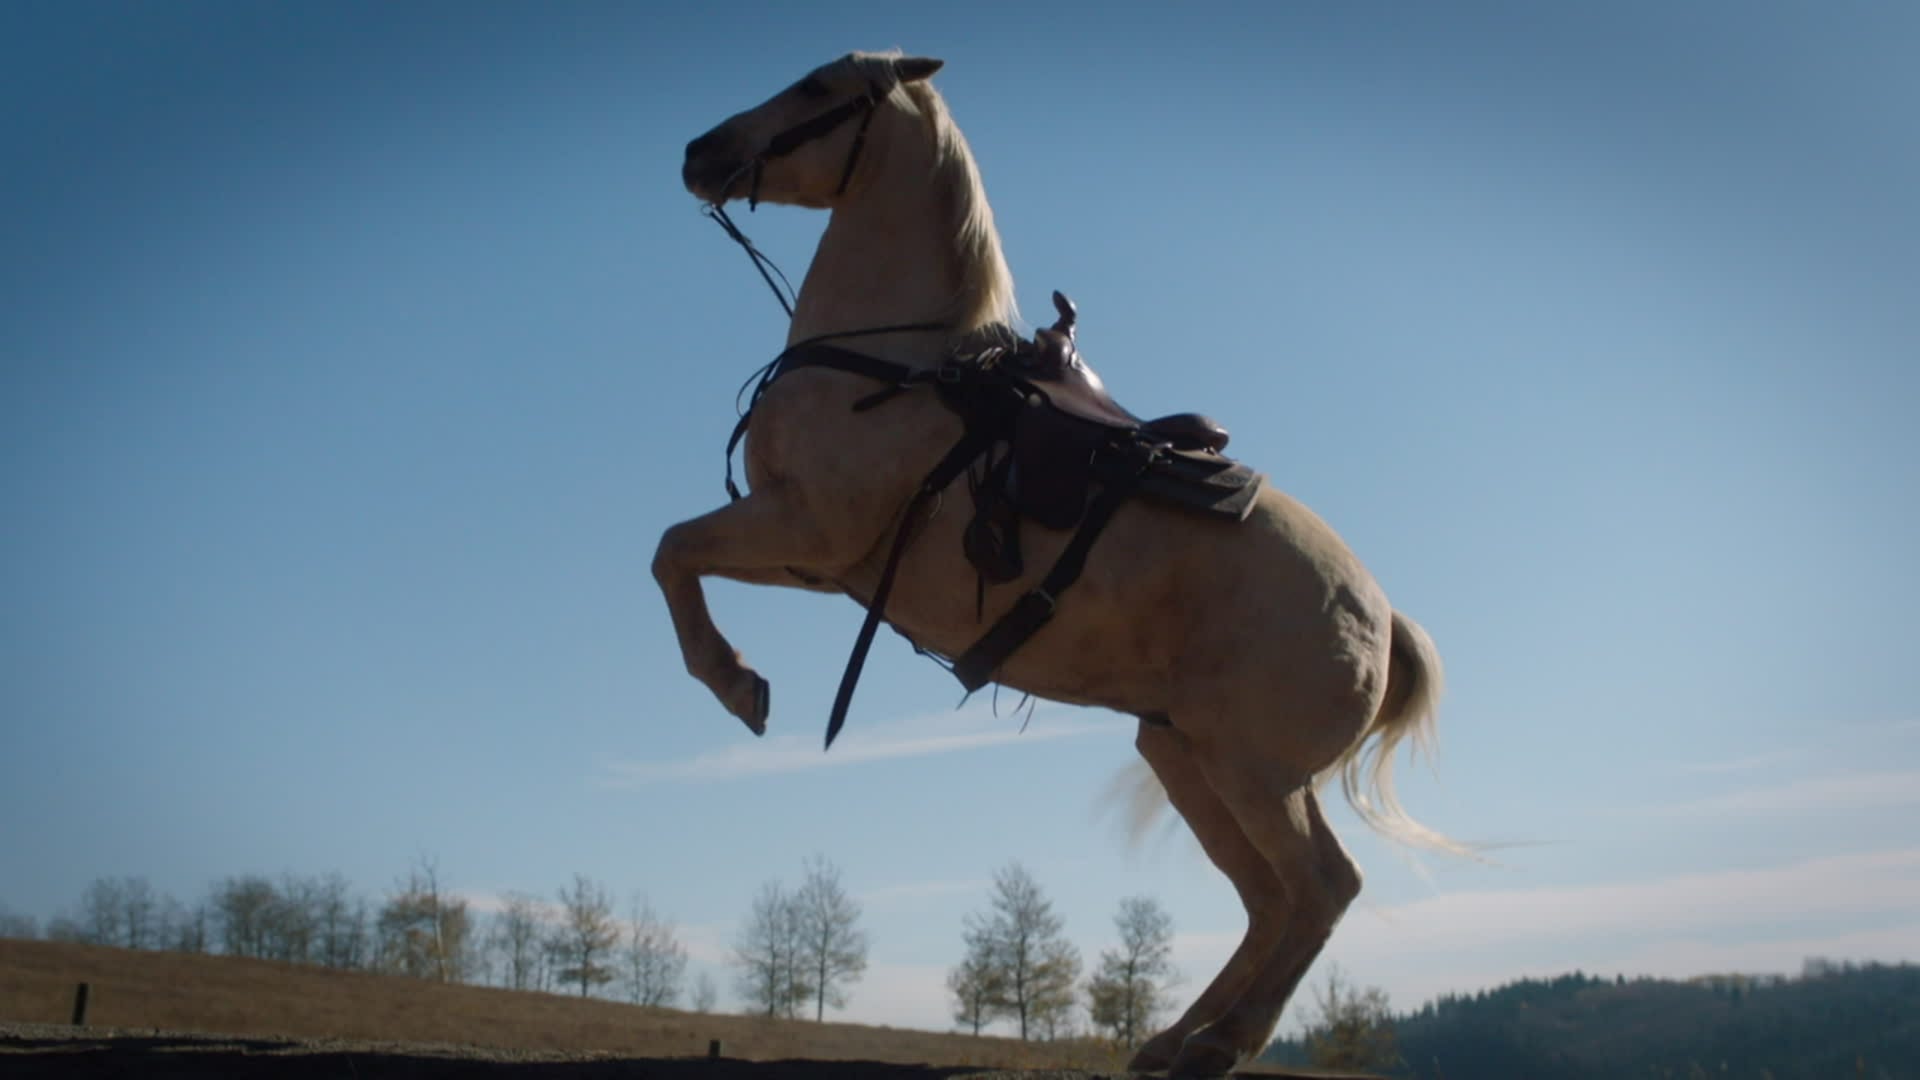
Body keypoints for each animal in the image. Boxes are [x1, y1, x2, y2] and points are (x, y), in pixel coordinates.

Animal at [662, 50, 1460, 1077]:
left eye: (815, 88)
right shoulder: (811, 558)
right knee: (1267, 900)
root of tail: (1382, 617)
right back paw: (1172, 1038)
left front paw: (737, 685)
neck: (896, 370)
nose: (700, 152)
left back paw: (1220, 1043)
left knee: (1320, 889)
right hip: (1186, 755)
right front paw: (740, 681)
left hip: (1254, 771)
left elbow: (671, 553)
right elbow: (678, 558)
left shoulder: (803, 529)